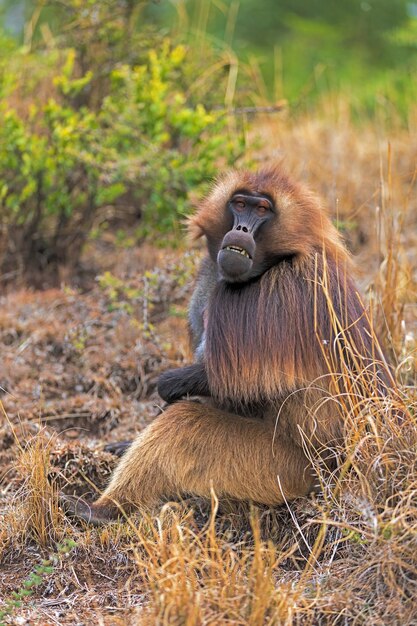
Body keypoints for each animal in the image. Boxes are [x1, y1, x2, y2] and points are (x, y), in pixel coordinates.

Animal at [62, 165, 390, 520]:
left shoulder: (272, 295)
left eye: (262, 210)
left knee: (183, 423)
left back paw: (98, 510)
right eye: (240, 204)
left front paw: (167, 386)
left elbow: (230, 380)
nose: (241, 228)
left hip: (280, 469)